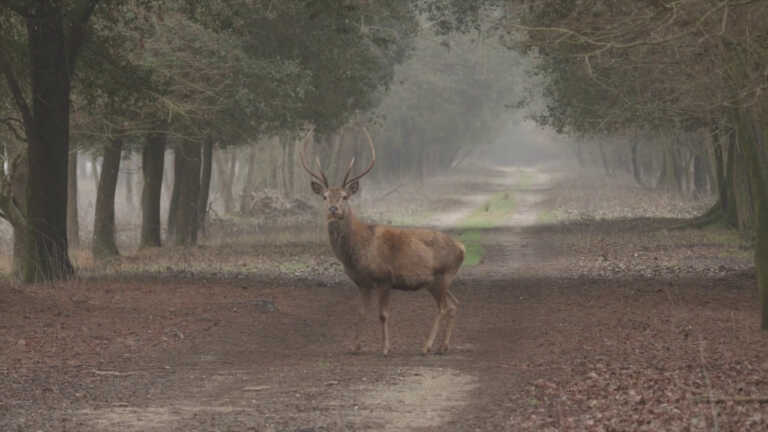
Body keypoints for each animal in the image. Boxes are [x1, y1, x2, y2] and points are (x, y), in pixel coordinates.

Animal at [300, 127, 465, 356]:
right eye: (325, 196)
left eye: (344, 196)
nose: (333, 209)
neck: (358, 250)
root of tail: (462, 248)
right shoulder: (362, 283)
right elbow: (360, 312)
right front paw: (355, 346)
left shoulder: (385, 278)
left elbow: (383, 314)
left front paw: (385, 348)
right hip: (438, 281)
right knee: (455, 304)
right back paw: (443, 346)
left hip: (442, 276)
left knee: (443, 307)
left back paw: (426, 346)